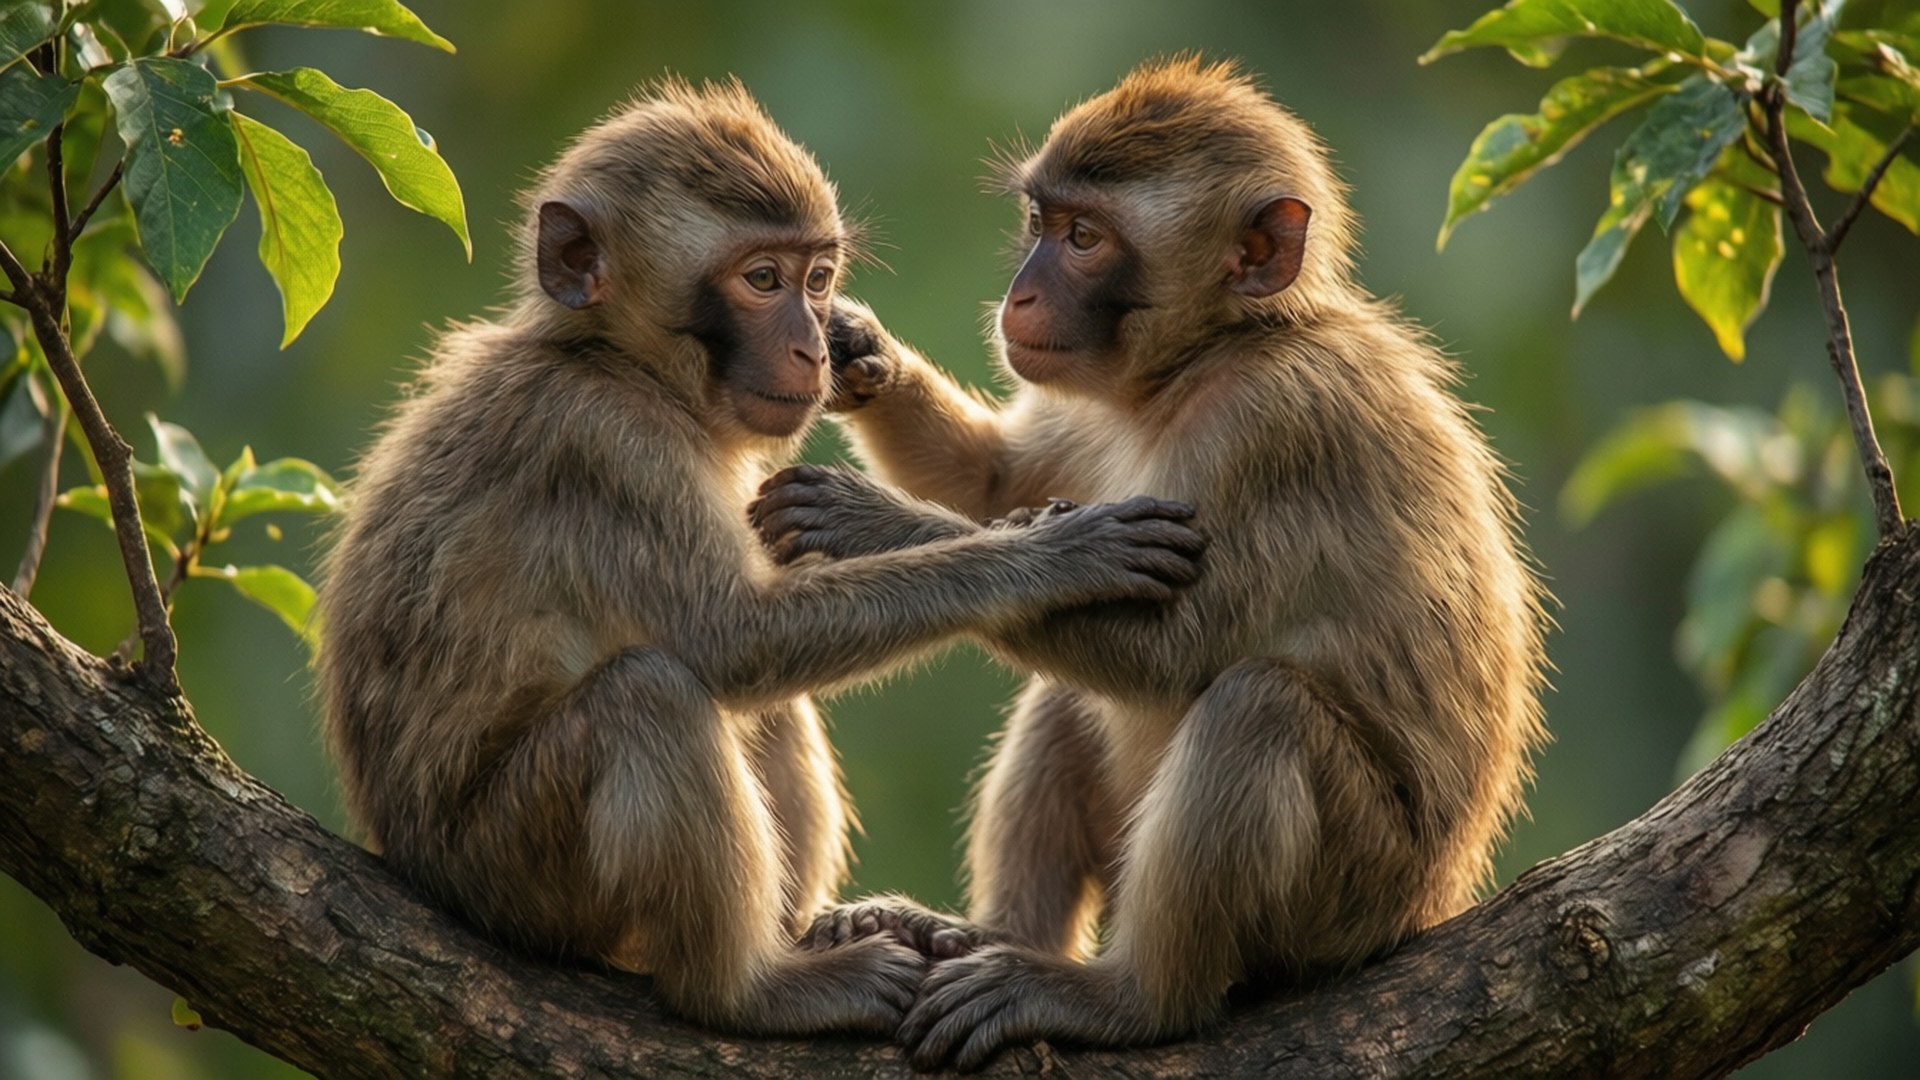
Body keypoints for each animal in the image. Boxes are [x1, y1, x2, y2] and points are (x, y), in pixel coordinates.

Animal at [314, 78, 1207, 1038]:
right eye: (761, 280)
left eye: (816, 280)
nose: (811, 346)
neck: (615, 362)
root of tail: (418, 863)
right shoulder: (606, 443)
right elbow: (730, 642)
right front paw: (1052, 553)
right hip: (513, 871)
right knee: (651, 694)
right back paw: (748, 989)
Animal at [750, 57, 1549, 1068]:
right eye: (1042, 222)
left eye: (1086, 239)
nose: (1020, 296)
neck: (1211, 356)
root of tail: (1430, 906)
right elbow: (995, 480)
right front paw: (858, 348)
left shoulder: (1275, 425)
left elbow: (1174, 653)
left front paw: (864, 518)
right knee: (1068, 689)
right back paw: (991, 936)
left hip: (1353, 898)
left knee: (1258, 706)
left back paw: (1129, 999)